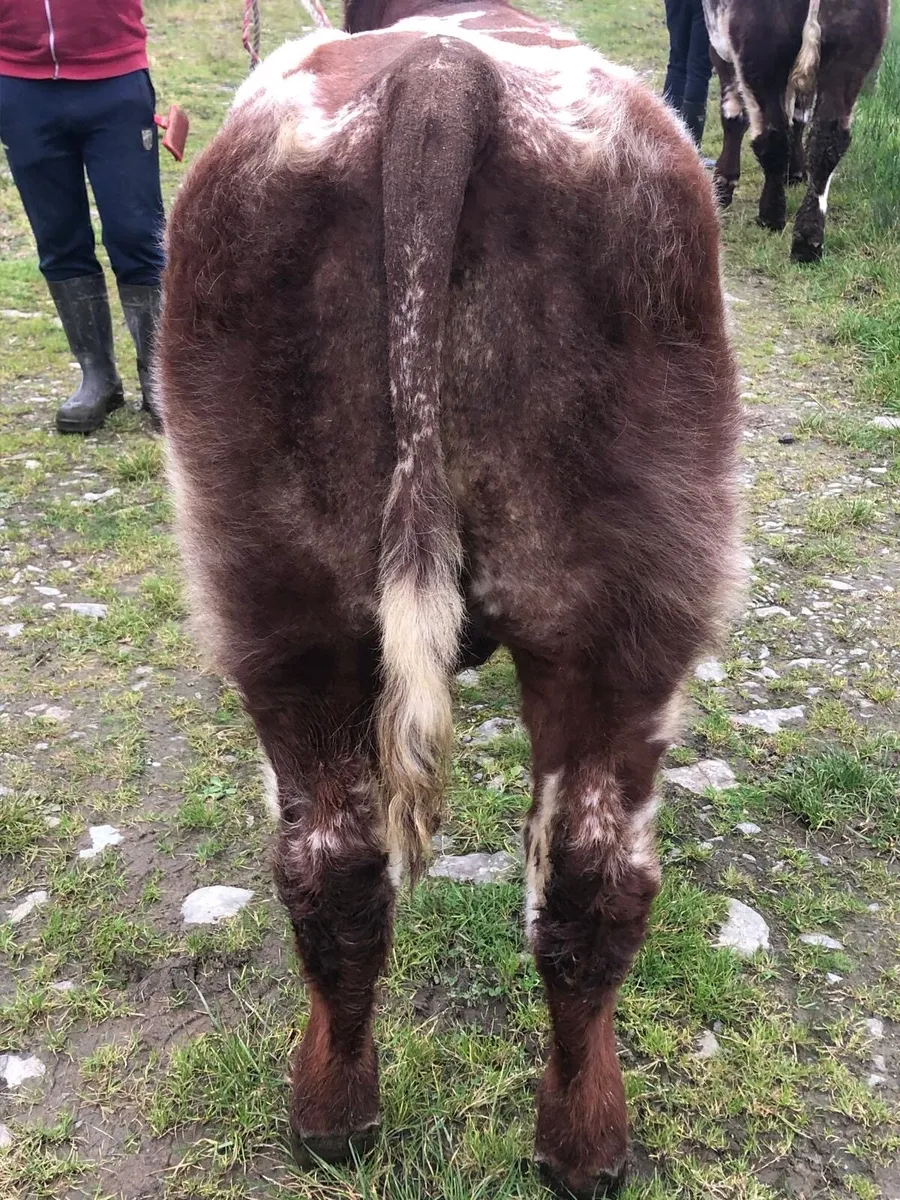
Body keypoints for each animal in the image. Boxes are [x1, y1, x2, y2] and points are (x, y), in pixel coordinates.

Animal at [157, 1, 742, 1194]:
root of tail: (440, 73)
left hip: (291, 606)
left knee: (346, 865)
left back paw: (345, 1118)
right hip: (621, 618)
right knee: (584, 882)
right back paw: (573, 1141)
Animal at [703, 0, 890, 261]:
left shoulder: (719, 48)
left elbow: (734, 117)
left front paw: (723, 185)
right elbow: (799, 116)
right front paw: (796, 171)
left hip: (760, 50)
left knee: (773, 135)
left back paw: (771, 215)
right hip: (852, 52)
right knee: (827, 139)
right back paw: (808, 239)